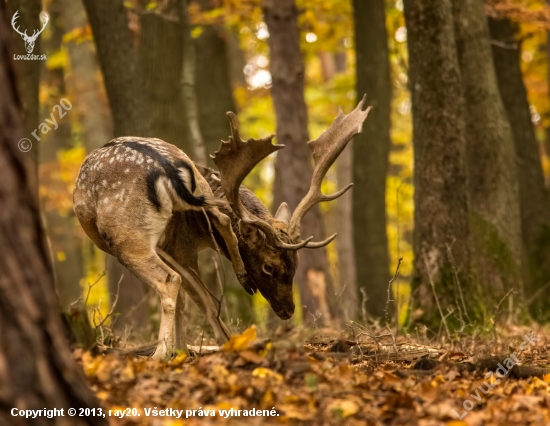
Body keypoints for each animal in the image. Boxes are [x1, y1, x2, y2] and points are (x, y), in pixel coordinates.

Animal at [73, 95, 374, 356]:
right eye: (269, 267)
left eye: (295, 265)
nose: (288, 311)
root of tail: (167, 168)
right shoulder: (179, 248)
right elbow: (195, 298)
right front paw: (186, 348)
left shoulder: (176, 247)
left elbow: (192, 297)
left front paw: (179, 349)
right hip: (182, 203)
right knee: (221, 220)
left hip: (124, 235)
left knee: (170, 280)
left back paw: (160, 353)